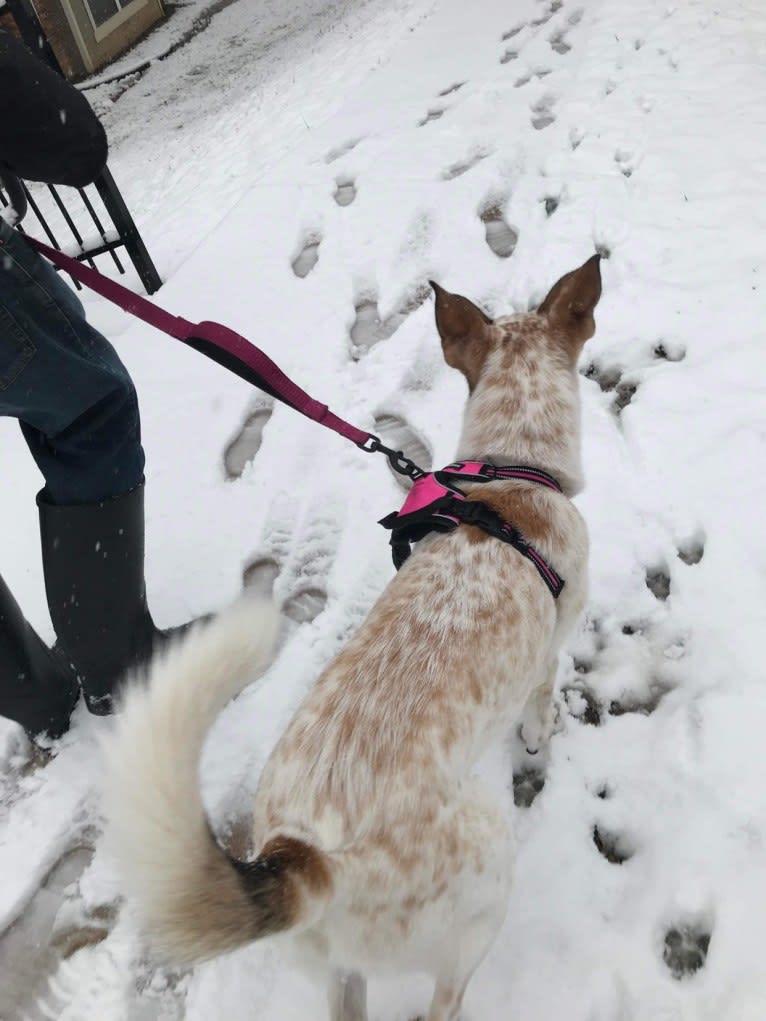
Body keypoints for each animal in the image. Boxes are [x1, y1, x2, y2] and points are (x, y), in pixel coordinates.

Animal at [103, 255, 604, 1021]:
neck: (511, 466)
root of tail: (302, 857)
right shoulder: (554, 640)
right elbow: (540, 708)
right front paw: (536, 740)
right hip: (484, 880)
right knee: (446, 998)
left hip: (338, 967)